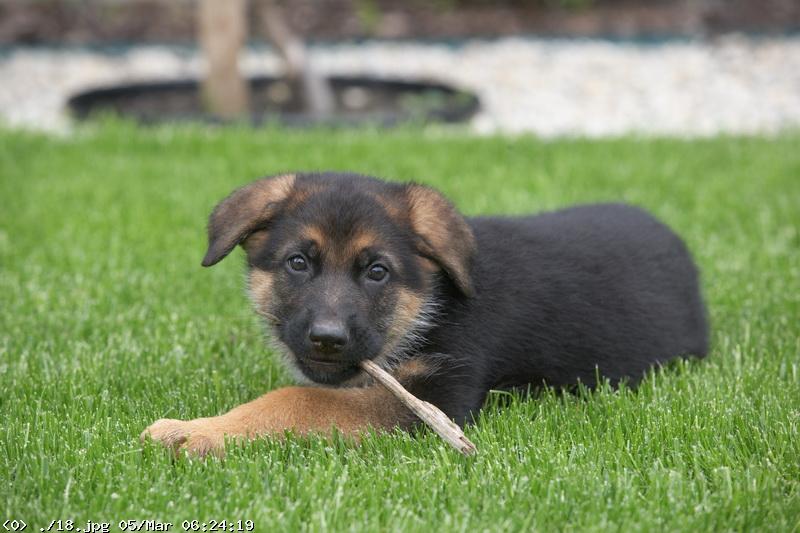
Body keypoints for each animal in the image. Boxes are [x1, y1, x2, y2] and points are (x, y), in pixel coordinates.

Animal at [142, 172, 708, 456]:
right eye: (297, 263)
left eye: (377, 272)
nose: (326, 338)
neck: (428, 306)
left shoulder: (433, 398)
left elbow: (300, 399)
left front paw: (201, 432)